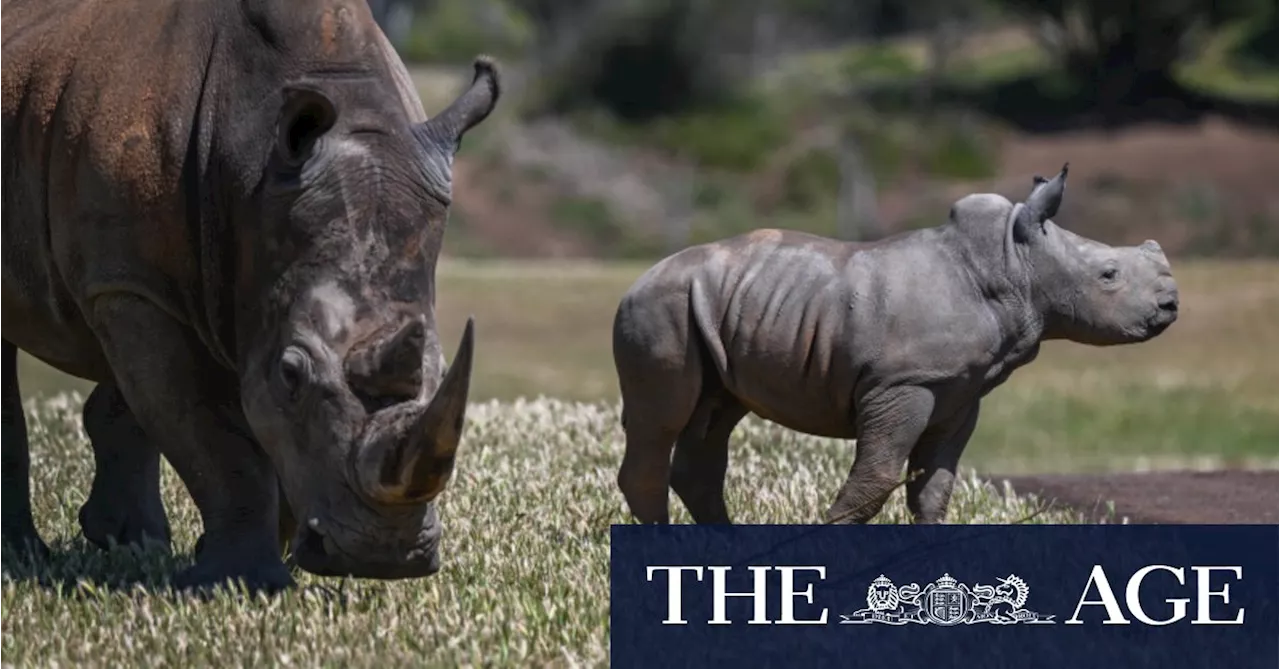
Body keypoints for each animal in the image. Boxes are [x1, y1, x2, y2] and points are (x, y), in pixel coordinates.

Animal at [609, 165, 1177, 527]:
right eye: (1108, 275)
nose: (1171, 304)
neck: (1013, 262)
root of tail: (637, 280)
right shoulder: (903, 383)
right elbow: (877, 477)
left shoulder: (959, 390)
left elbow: (935, 485)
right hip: (660, 307)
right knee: (664, 419)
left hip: (709, 309)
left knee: (714, 414)